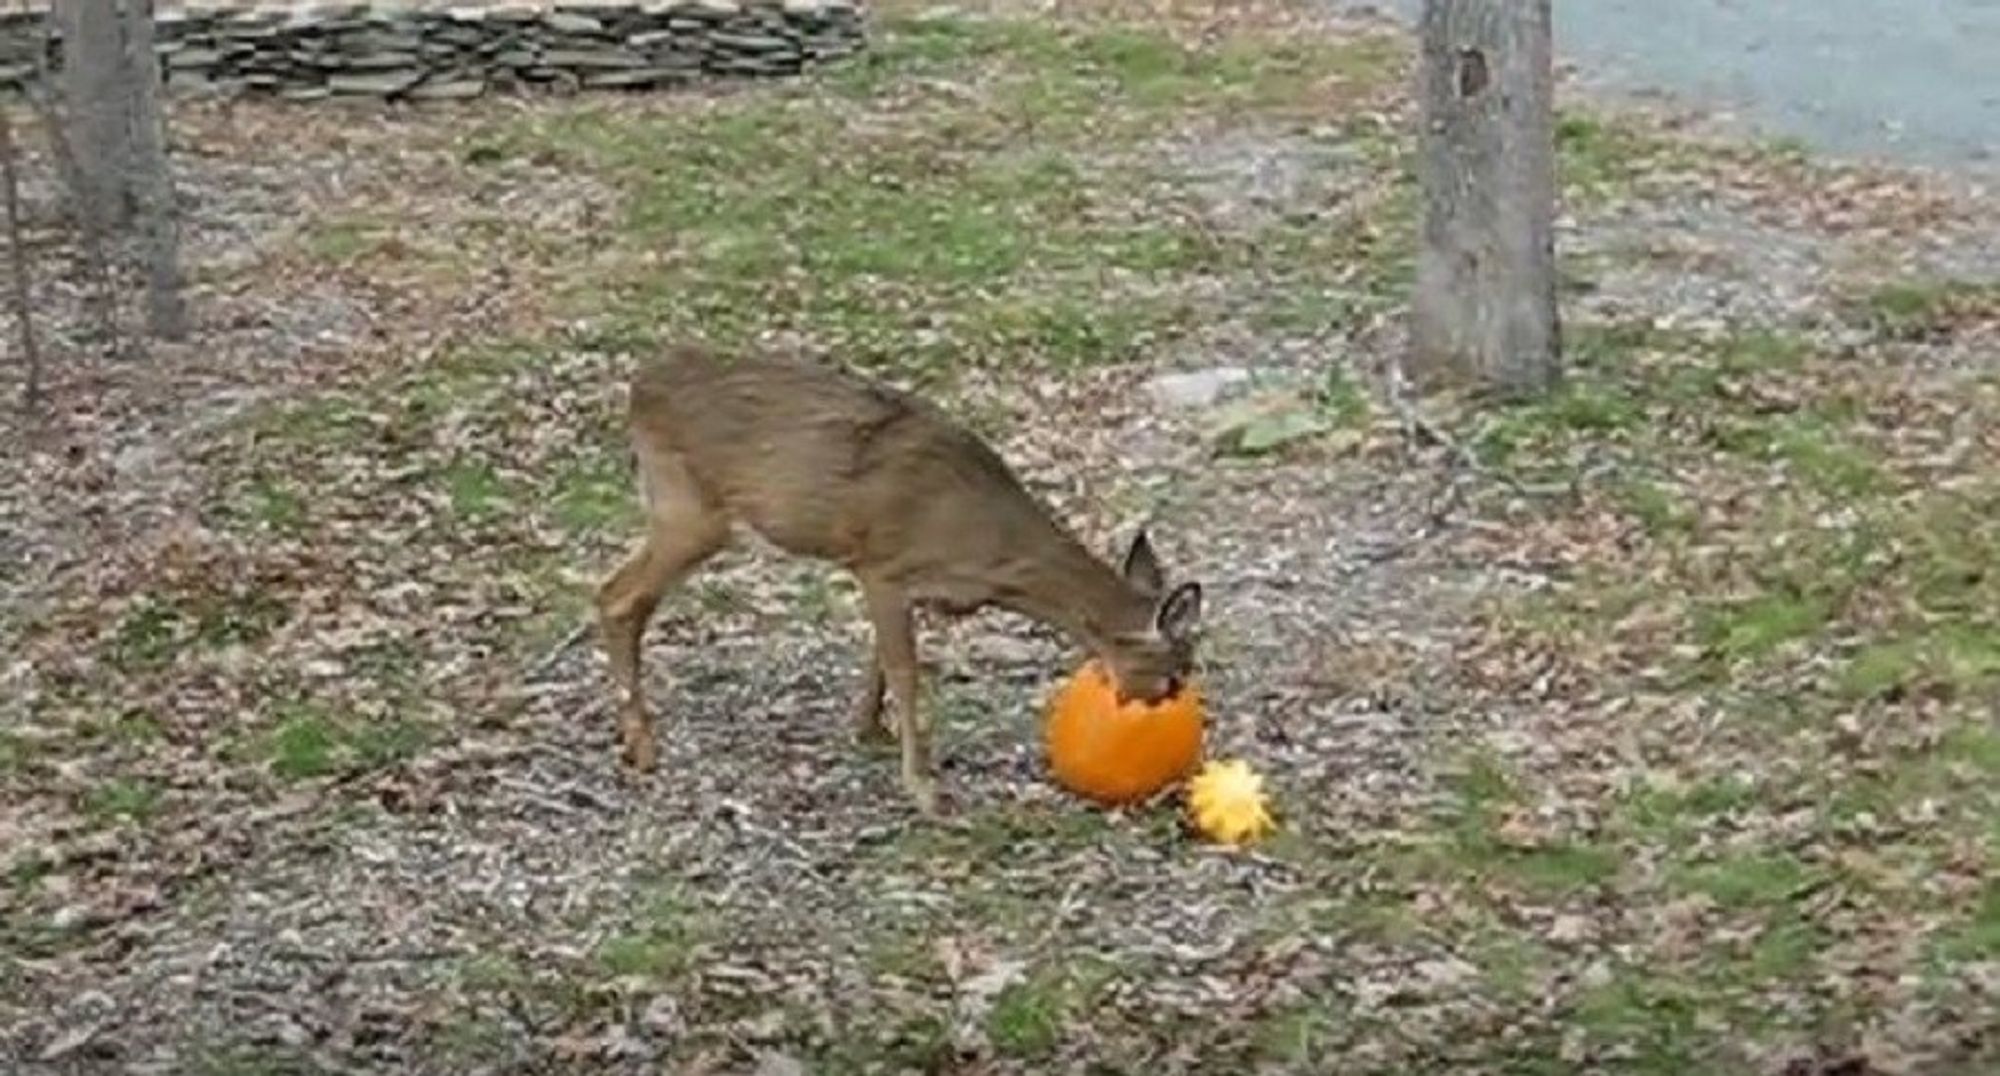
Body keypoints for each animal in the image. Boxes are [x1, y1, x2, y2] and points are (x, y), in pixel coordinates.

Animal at [592, 344, 1200, 812]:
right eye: (1174, 675)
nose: (1163, 702)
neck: (988, 548)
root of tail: (639, 388)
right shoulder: (881, 564)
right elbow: (906, 672)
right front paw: (923, 788)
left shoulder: (907, 584)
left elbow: (880, 661)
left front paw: (869, 730)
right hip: (692, 511)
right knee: (616, 596)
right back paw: (643, 748)